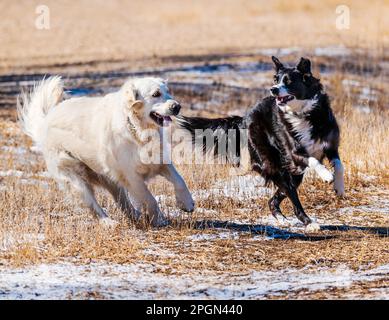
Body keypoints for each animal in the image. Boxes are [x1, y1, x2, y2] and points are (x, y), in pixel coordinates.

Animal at [17, 77, 194, 228]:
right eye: (156, 94)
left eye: (168, 91)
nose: (177, 107)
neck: (136, 128)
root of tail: (45, 121)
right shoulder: (131, 176)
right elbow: (149, 198)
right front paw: (159, 219)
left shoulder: (159, 161)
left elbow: (180, 181)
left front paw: (187, 203)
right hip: (75, 181)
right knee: (93, 206)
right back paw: (108, 223)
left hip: (110, 180)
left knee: (123, 202)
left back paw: (135, 216)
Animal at [177, 57, 344, 230]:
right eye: (276, 79)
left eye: (289, 81)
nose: (273, 90)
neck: (303, 114)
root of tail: (245, 117)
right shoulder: (294, 153)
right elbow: (314, 161)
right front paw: (326, 175)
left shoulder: (331, 146)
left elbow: (339, 165)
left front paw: (339, 187)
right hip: (272, 164)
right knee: (291, 199)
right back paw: (309, 223)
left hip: (293, 174)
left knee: (275, 199)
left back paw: (283, 219)